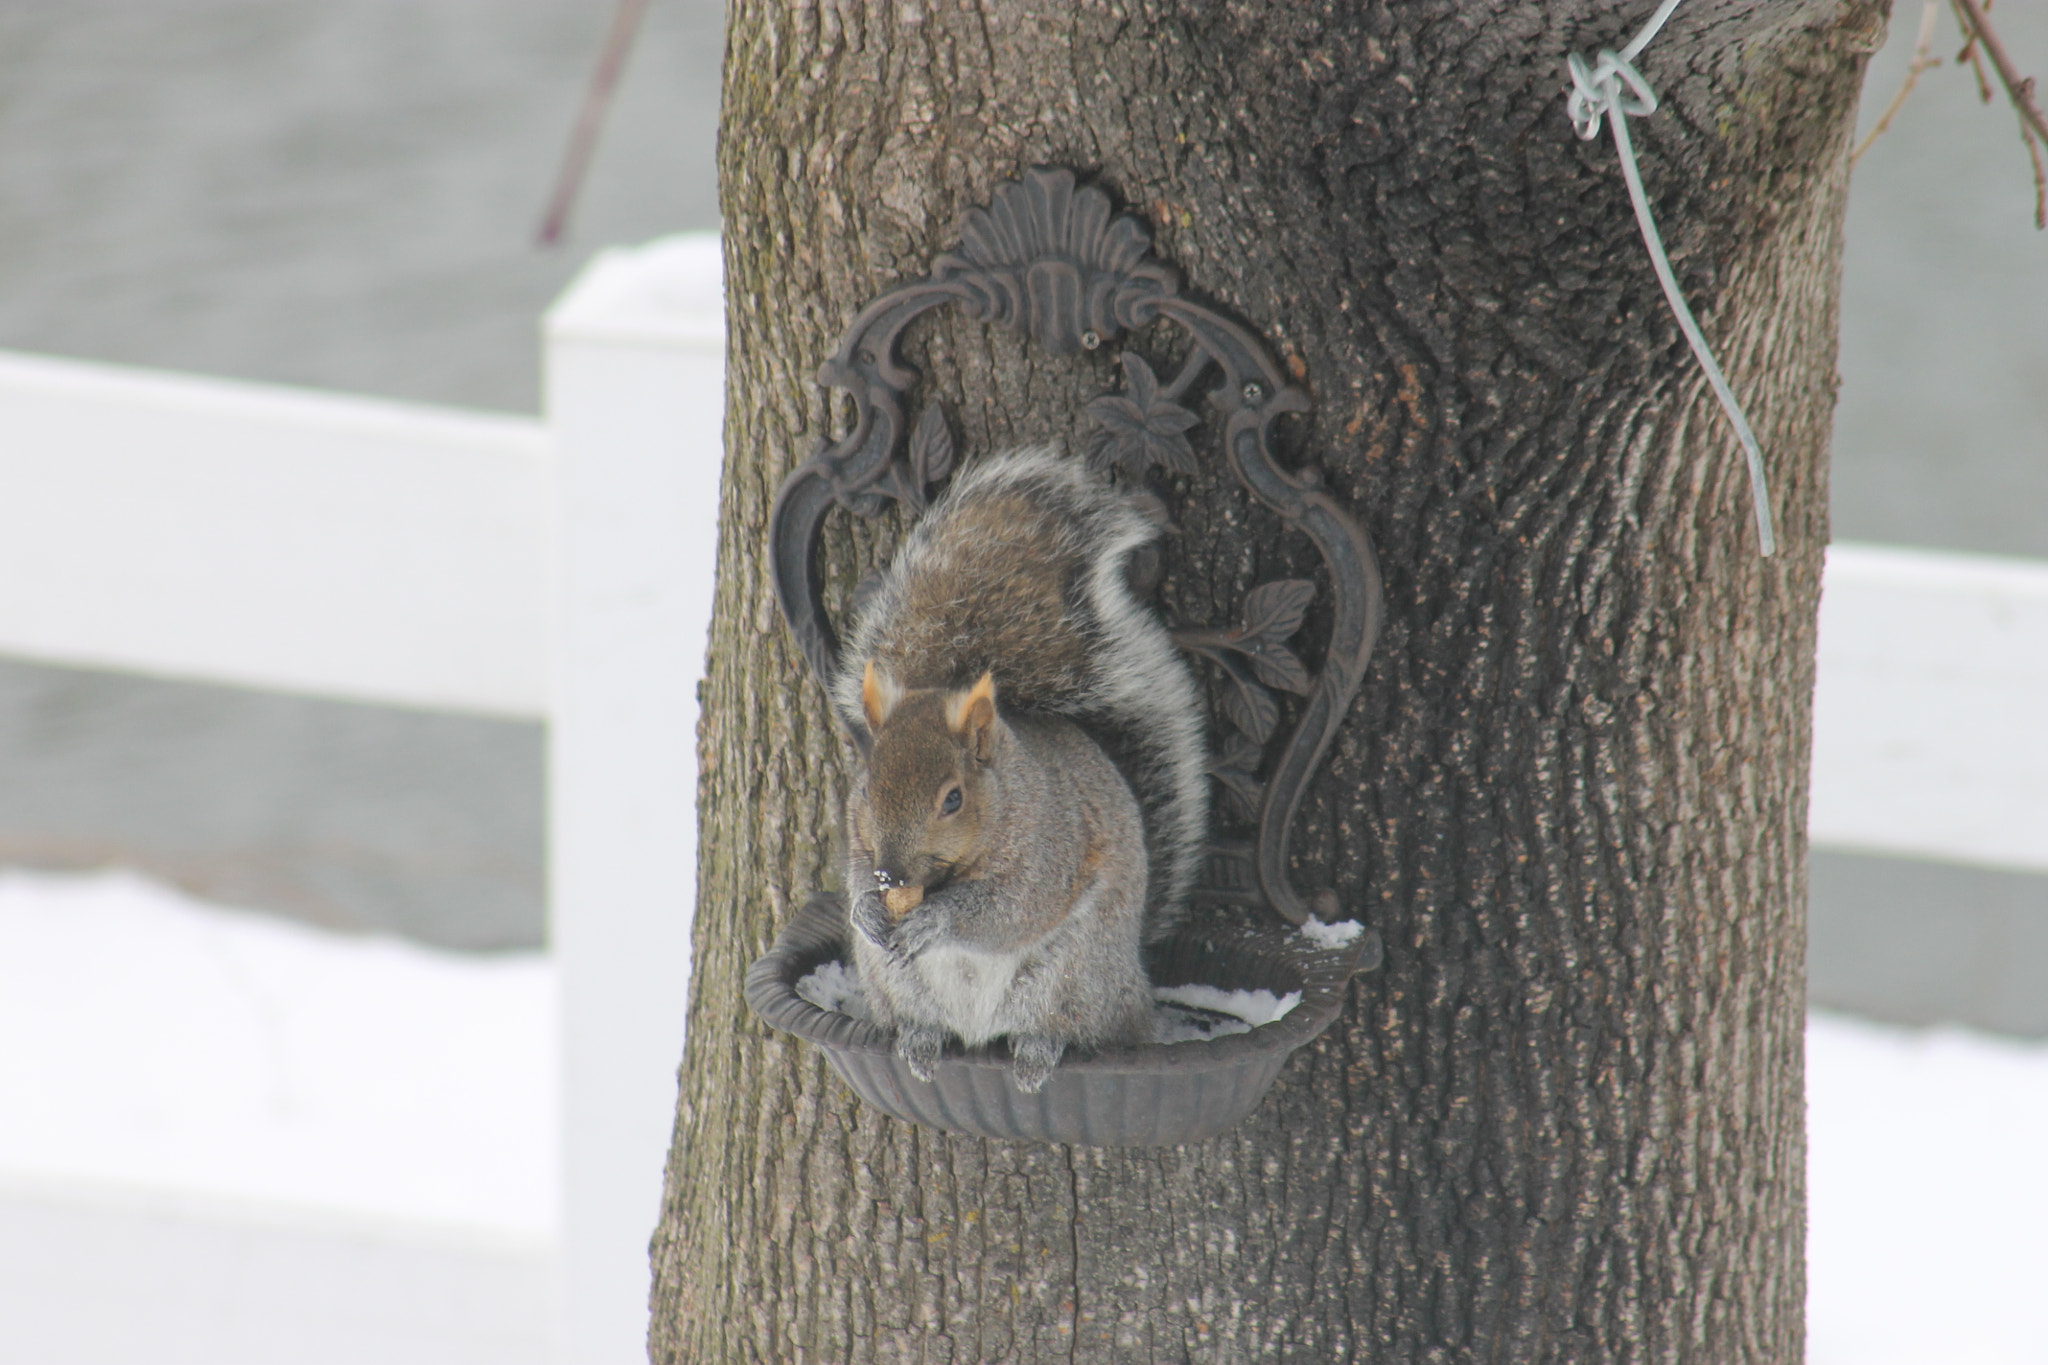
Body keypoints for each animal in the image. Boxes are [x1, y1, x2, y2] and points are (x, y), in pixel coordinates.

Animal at [835, 454, 1212, 1096]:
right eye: (866, 785)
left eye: (953, 799)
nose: (892, 876)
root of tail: (1134, 985)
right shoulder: (861, 843)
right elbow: (854, 873)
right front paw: (866, 906)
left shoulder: (1049, 849)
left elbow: (1009, 909)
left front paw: (936, 920)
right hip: (891, 981)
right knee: (921, 1018)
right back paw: (920, 1039)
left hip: (1074, 975)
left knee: (1064, 1026)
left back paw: (1039, 1052)